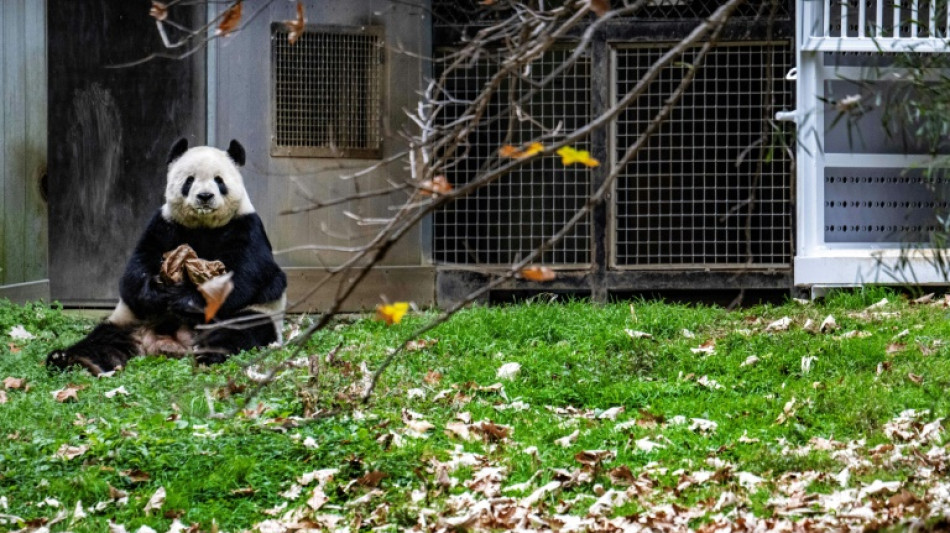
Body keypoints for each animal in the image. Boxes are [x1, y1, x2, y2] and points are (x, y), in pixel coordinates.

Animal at [46, 139, 287, 375]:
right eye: (189, 180)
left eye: (219, 181)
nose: (205, 196)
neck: (204, 226)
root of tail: (172, 345)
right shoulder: (164, 224)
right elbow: (136, 269)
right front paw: (158, 294)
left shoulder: (246, 227)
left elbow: (245, 277)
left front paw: (186, 299)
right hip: (129, 321)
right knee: (103, 341)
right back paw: (67, 359)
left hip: (256, 314)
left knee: (238, 331)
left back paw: (208, 356)